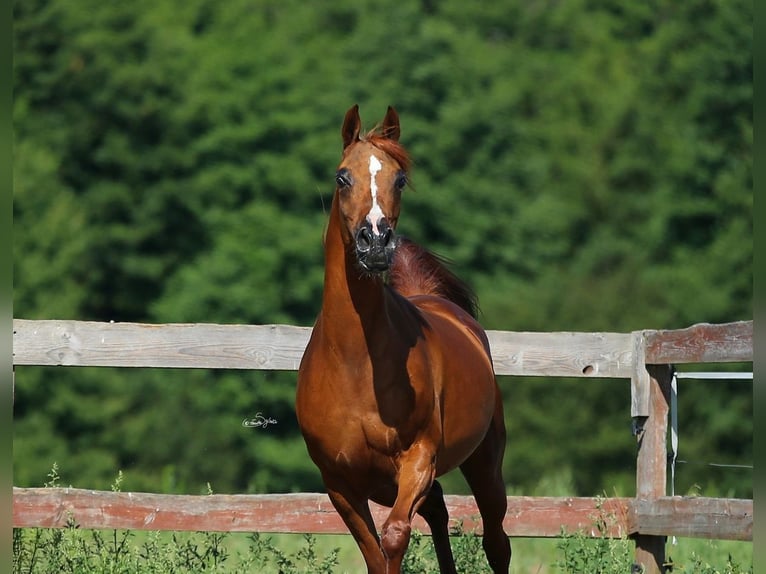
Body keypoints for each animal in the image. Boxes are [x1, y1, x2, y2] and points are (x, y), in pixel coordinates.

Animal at [296, 105, 511, 574]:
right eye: (342, 177)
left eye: (398, 179)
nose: (375, 242)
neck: (356, 362)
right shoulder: (339, 482)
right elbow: (374, 553)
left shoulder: (418, 460)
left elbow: (394, 535)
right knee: (438, 510)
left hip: (486, 461)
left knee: (496, 542)